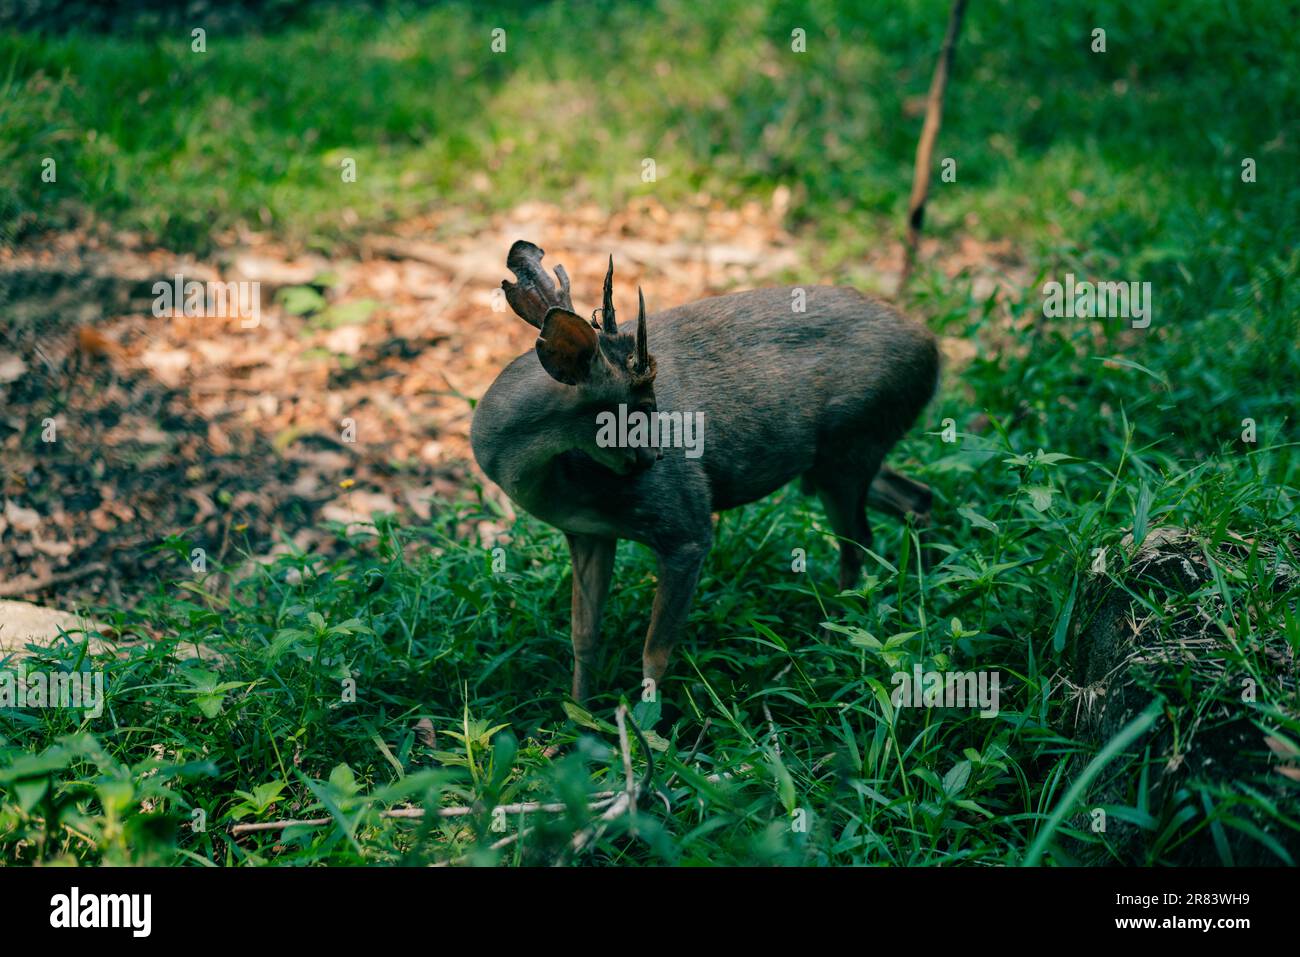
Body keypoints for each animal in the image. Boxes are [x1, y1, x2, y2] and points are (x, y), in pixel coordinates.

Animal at [471, 240, 939, 701]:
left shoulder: (686, 526)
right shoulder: (587, 533)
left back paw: (835, 642)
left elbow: (655, 653)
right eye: (643, 407)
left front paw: (643, 724)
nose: (657, 457)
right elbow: (584, 638)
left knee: (857, 542)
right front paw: (577, 716)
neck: (562, 485)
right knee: (916, 498)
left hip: (849, 445)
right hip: (836, 458)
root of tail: (932, 347)